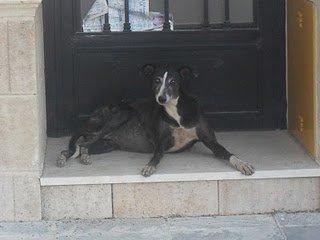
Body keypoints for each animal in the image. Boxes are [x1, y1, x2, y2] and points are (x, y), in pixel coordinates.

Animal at [56, 65, 254, 176]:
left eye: (173, 81)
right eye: (157, 80)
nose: (161, 98)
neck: (176, 111)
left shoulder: (210, 141)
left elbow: (227, 153)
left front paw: (243, 164)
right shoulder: (161, 141)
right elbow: (157, 155)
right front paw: (149, 167)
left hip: (107, 144)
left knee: (81, 146)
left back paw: (80, 156)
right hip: (119, 116)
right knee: (79, 145)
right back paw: (65, 158)